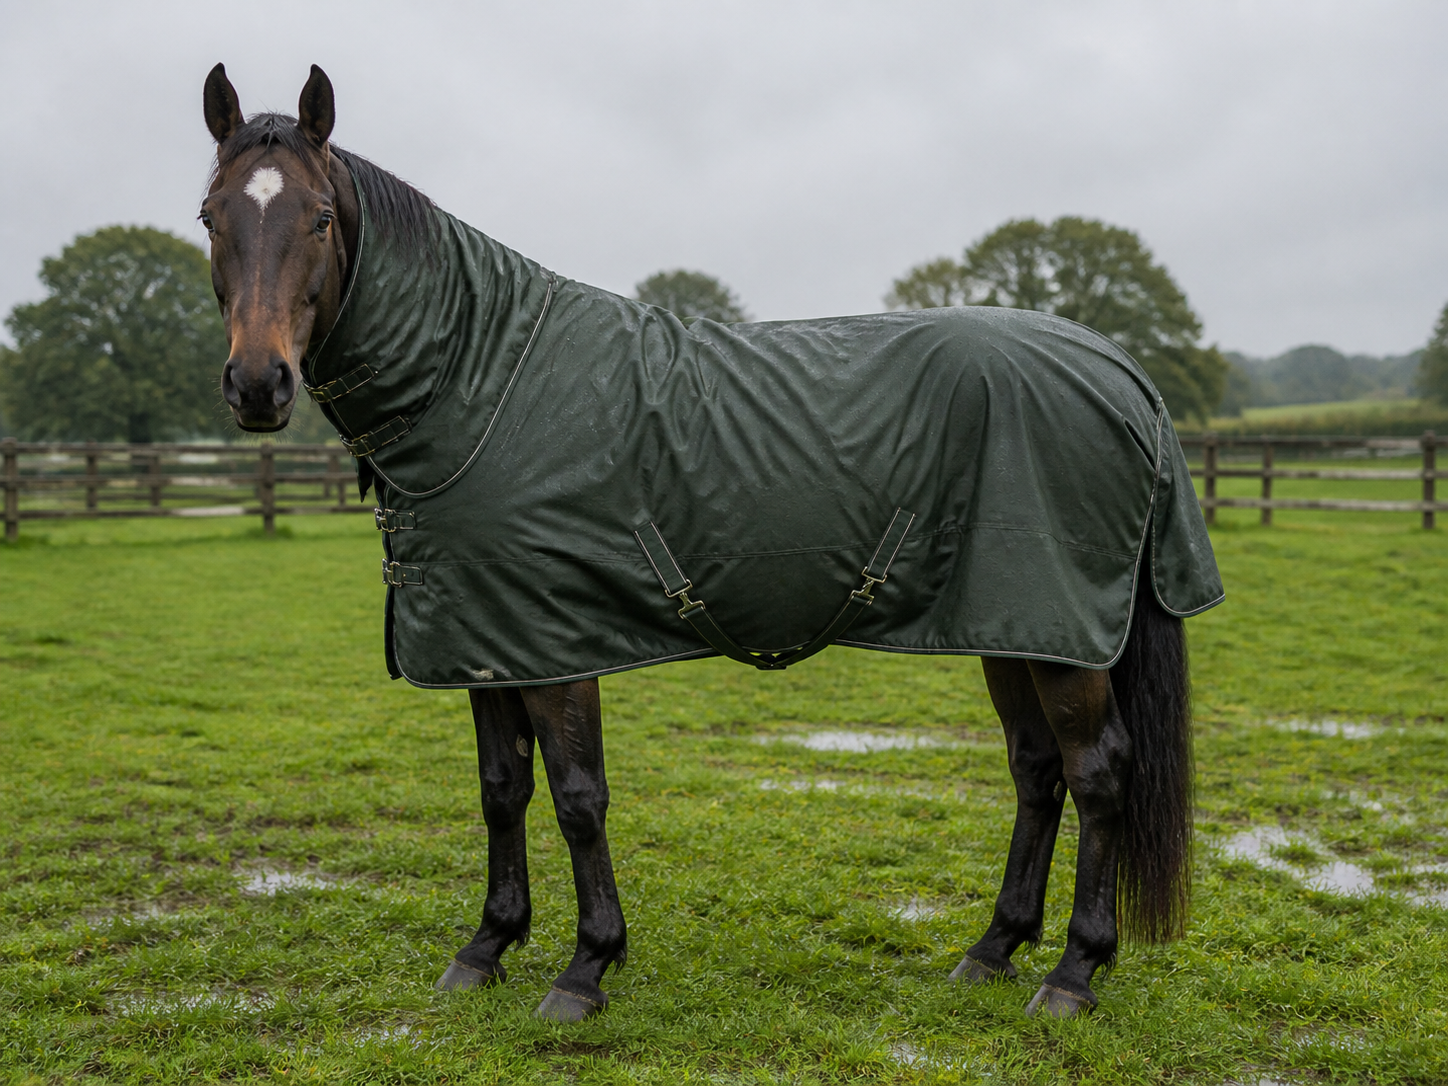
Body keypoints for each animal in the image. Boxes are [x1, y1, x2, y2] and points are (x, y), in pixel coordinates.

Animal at [199, 63, 1221, 1023]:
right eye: (212, 217)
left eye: (319, 217)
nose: (258, 385)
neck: (480, 383)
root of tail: (1123, 370)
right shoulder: (488, 642)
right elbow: (501, 790)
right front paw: (487, 948)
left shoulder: (558, 645)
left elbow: (578, 797)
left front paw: (586, 966)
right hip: (1014, 626)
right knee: (1037, 771)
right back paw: (994, 948)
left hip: (1059, 638)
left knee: (1098, 773)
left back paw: (1073, 971)